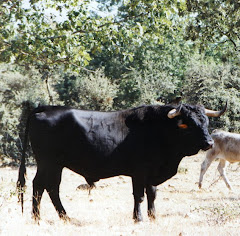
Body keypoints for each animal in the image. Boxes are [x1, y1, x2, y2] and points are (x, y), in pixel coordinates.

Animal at [16, 103, 227, 221]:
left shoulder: (152, 174)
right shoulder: (139, 172)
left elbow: (152, 195)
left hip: (55, 165)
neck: (158, 130)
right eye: (186, 124)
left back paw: (63, 217)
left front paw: (153, 216)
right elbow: (139, 196)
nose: (209, 143)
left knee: (50, 188)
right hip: (48, 163)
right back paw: (38, 217)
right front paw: (138, 218)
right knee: (41, 186)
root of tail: (48, 108)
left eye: (205, 122)